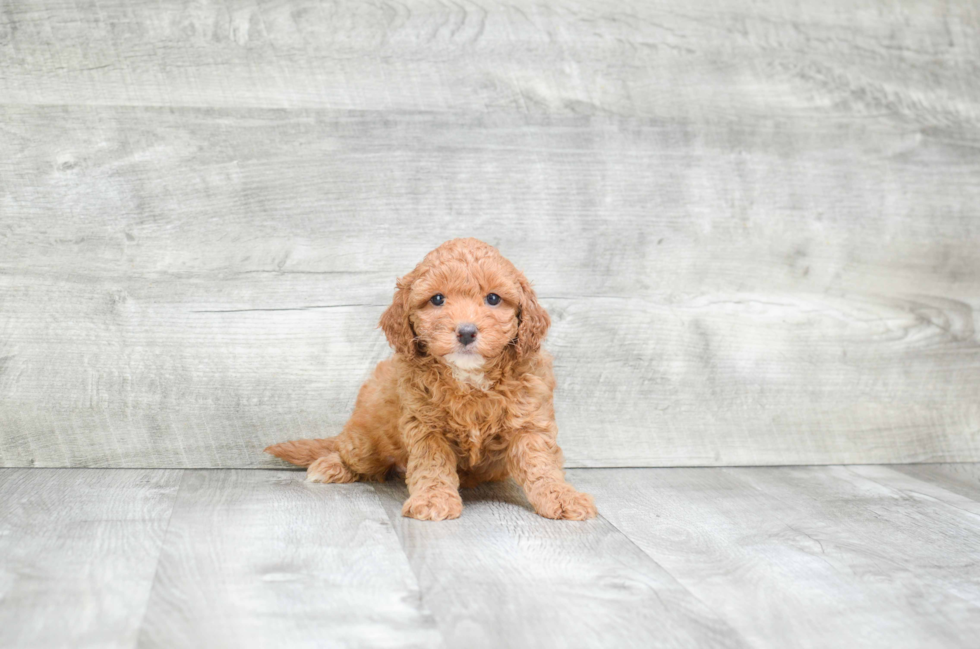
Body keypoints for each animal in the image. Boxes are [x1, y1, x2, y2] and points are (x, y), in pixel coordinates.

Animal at [262, 238, 596, 520]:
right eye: (437, 299)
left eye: (493, 298)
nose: (466, 331)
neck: (470, 378)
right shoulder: (425, 426)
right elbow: (432, 465)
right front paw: (435, 499)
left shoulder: (529, 422)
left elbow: (541, 464)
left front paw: (562, 497)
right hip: (366, 442)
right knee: (350, 452)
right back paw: (330, 465)